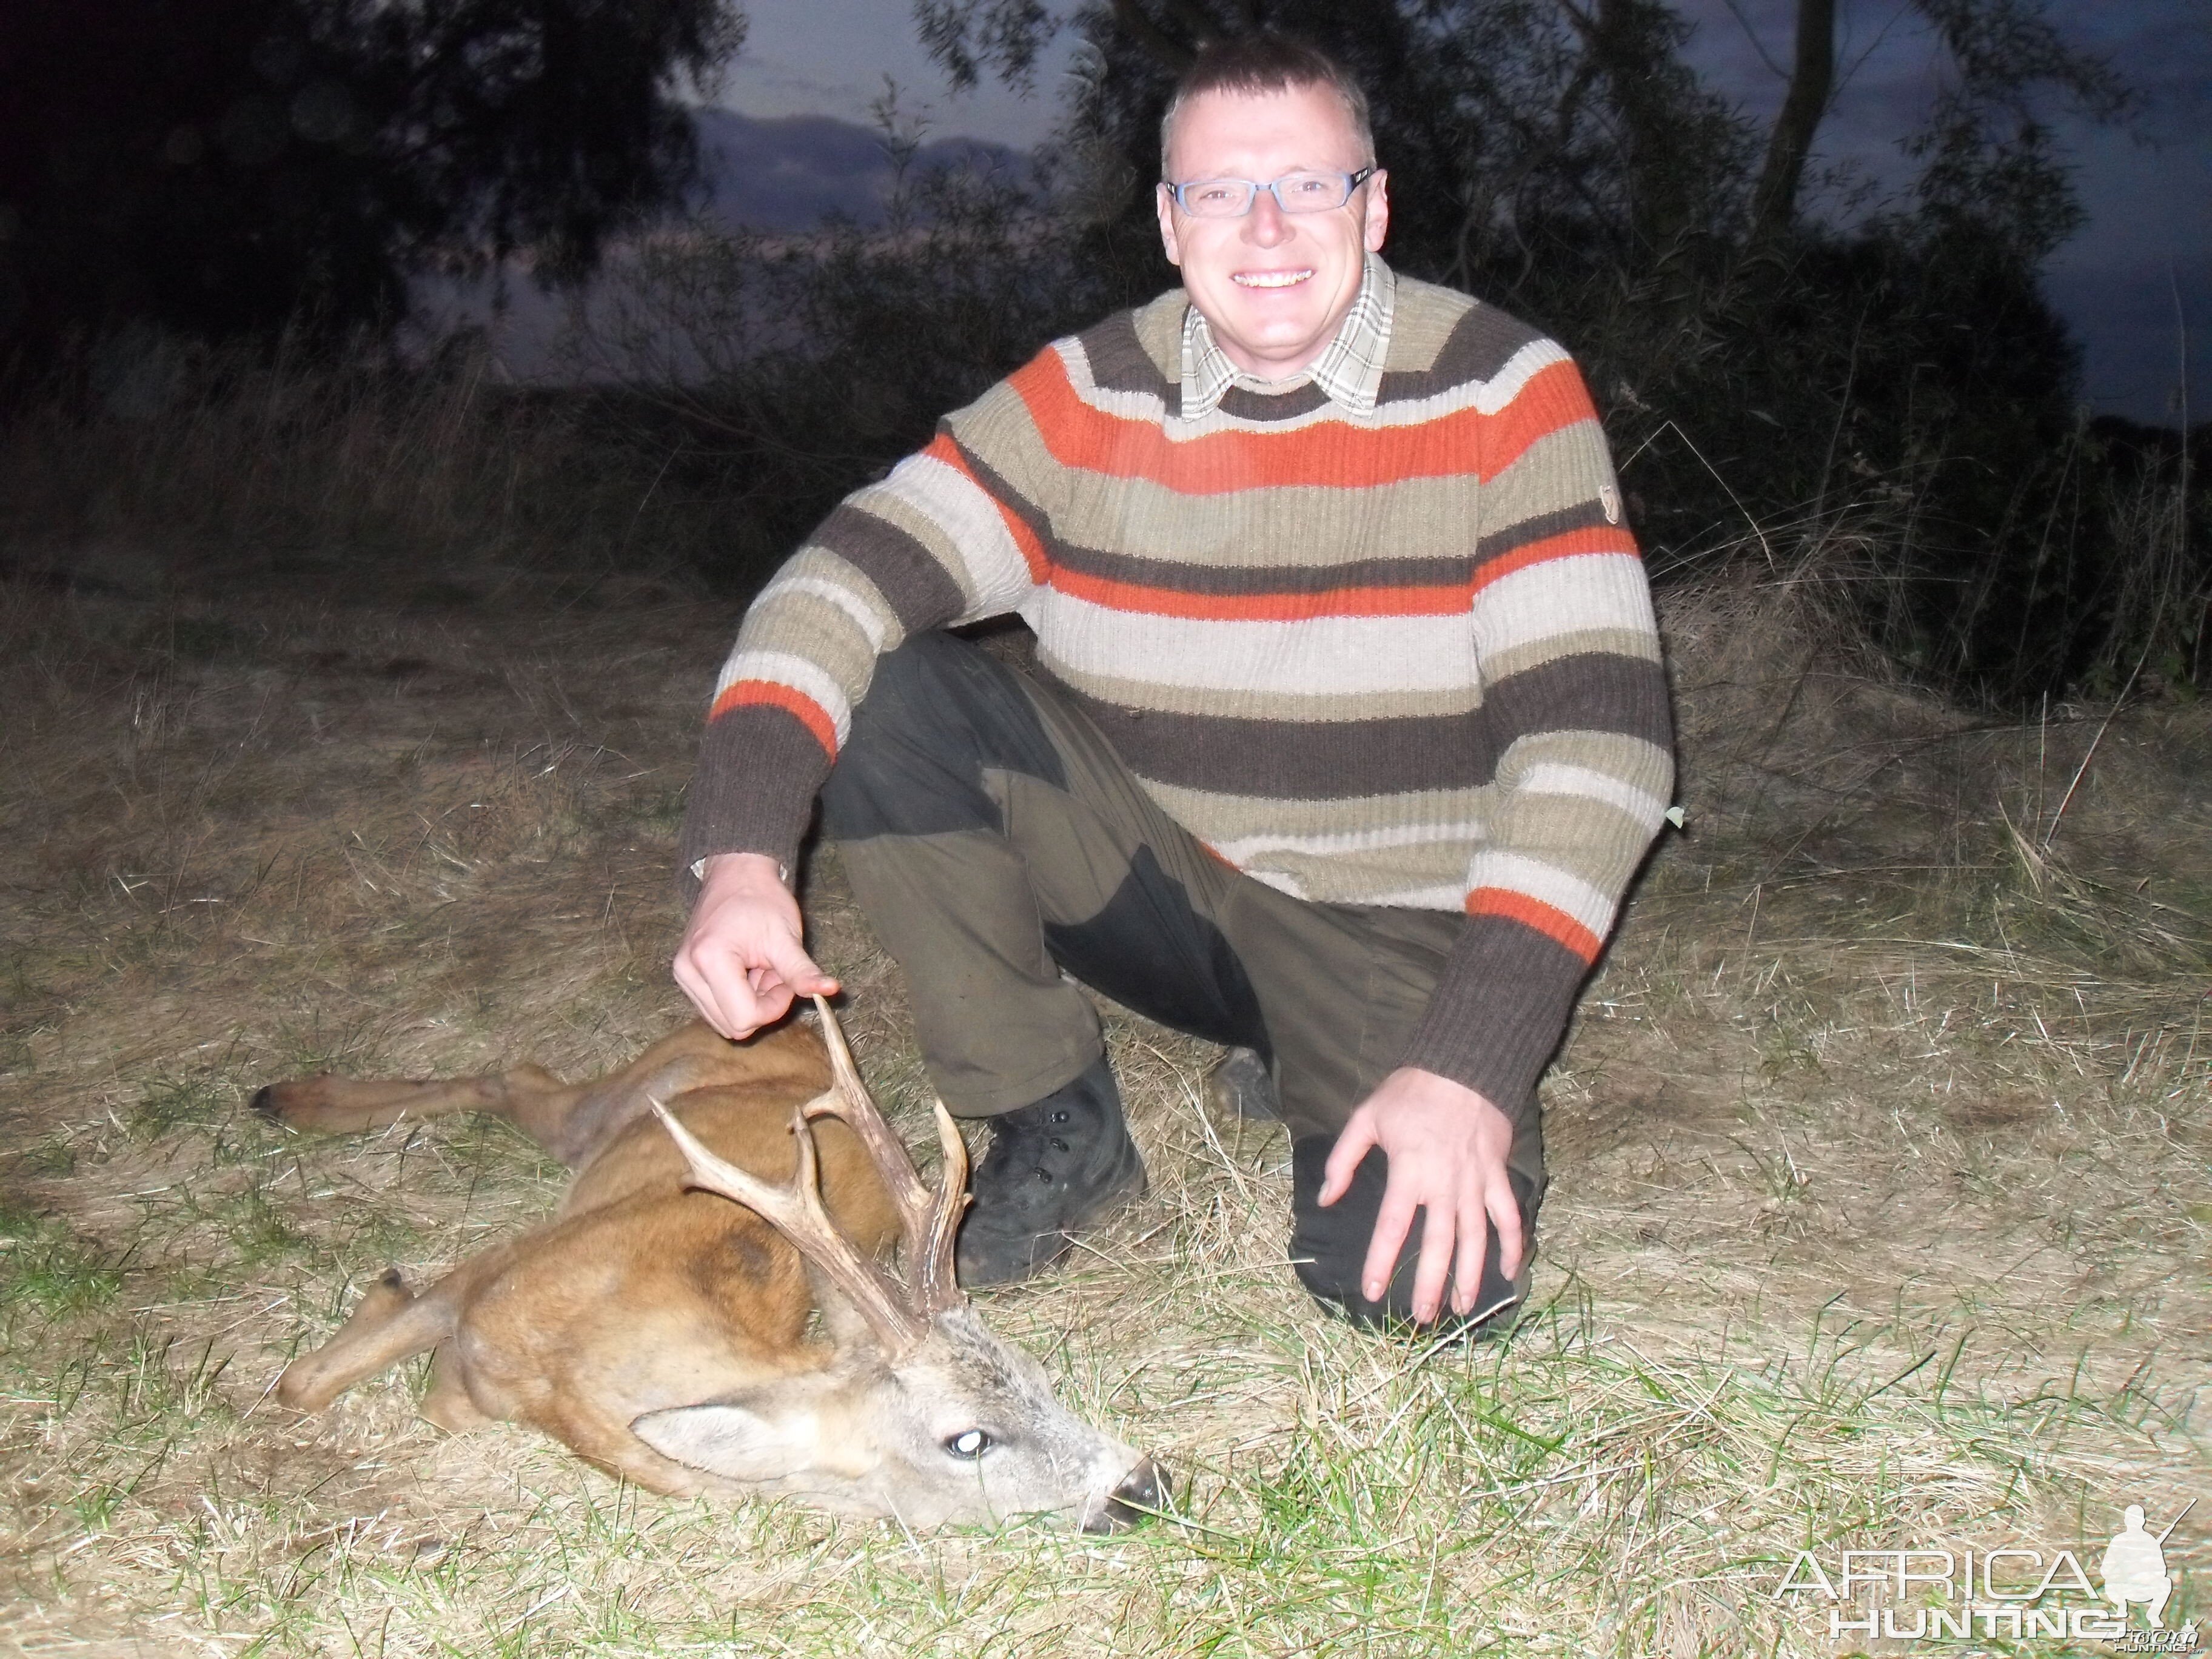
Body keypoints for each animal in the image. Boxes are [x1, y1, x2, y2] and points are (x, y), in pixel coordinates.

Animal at [254, 999, 1159, 1530]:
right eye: (968, 1440)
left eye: (1039, 1378)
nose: (1143, 1483)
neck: (577, 1365)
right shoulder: (494, 1268)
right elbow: (301, 1386)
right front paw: (382, 1289)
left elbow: (404, 1394)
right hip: (615, 1098)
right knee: (513, 1075)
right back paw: (291, 1098)